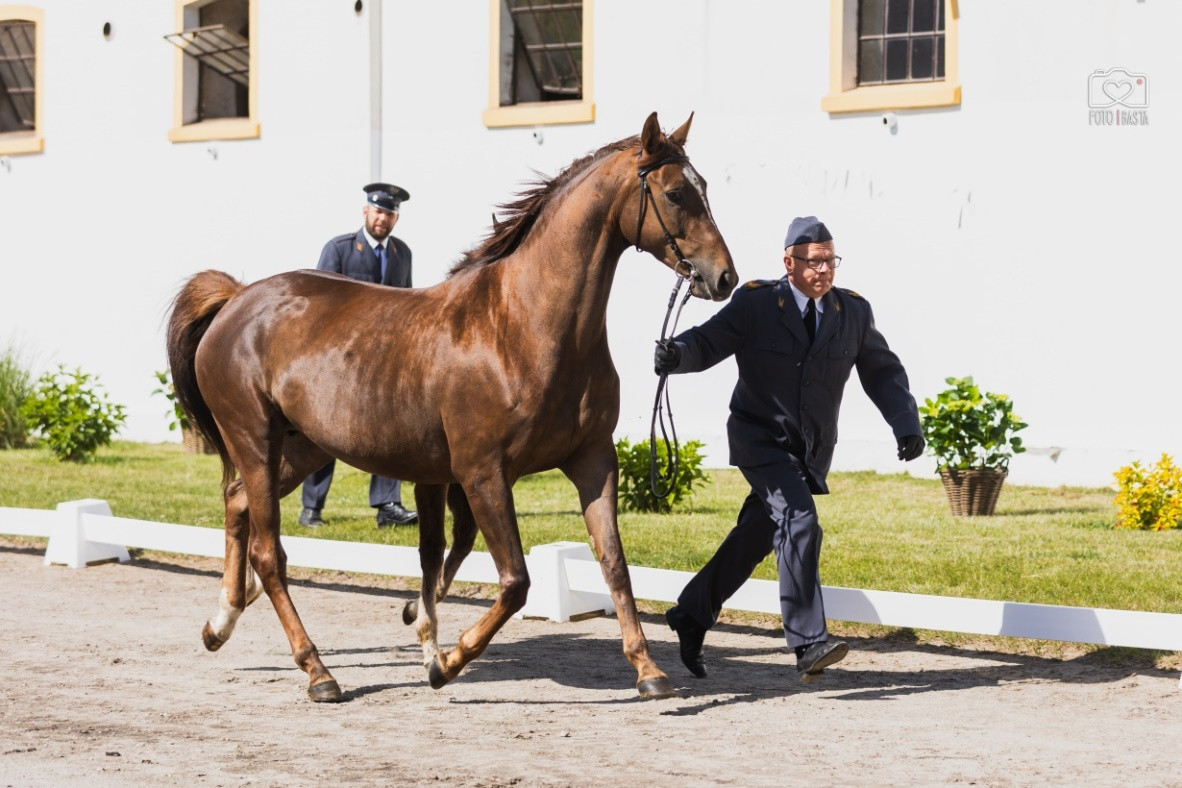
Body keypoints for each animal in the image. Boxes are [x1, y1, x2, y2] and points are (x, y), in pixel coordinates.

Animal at [166, 112, 737, 702]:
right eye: (674, 193)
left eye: (704, 187)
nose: (723, 277)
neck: (524, 324)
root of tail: (237, 299)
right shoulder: (482, 472)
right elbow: (514, 581)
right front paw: (446, 662)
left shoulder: (593, 461)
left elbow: (614, 565)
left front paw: (648, 670)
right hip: (255, 440)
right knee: (269, 552)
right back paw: (318, 672)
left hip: (303, 447)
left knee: (236, 502)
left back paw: (222, 621)